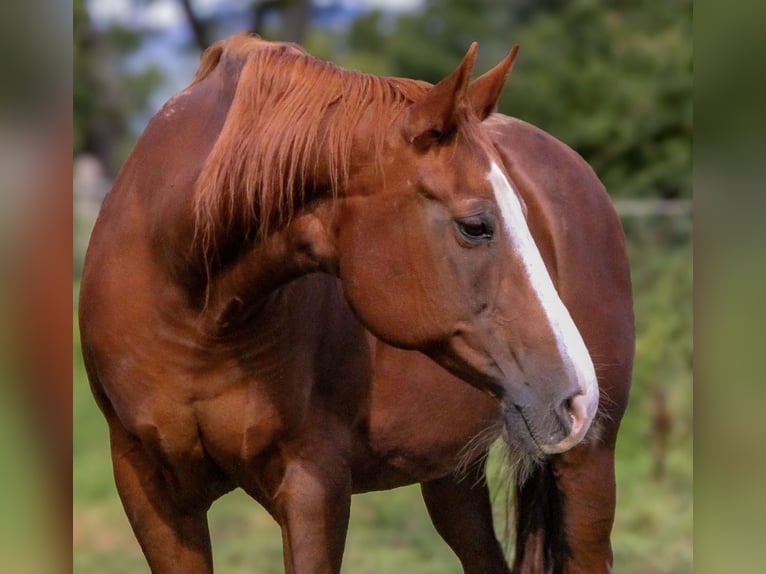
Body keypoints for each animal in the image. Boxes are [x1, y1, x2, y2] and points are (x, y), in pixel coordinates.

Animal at [79, 33, 636, 572]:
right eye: (475, 226)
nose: (578, 395)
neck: (193, 307)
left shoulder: (313, 485)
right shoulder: (151, 491)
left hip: (587, 467)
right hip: (453, 477)